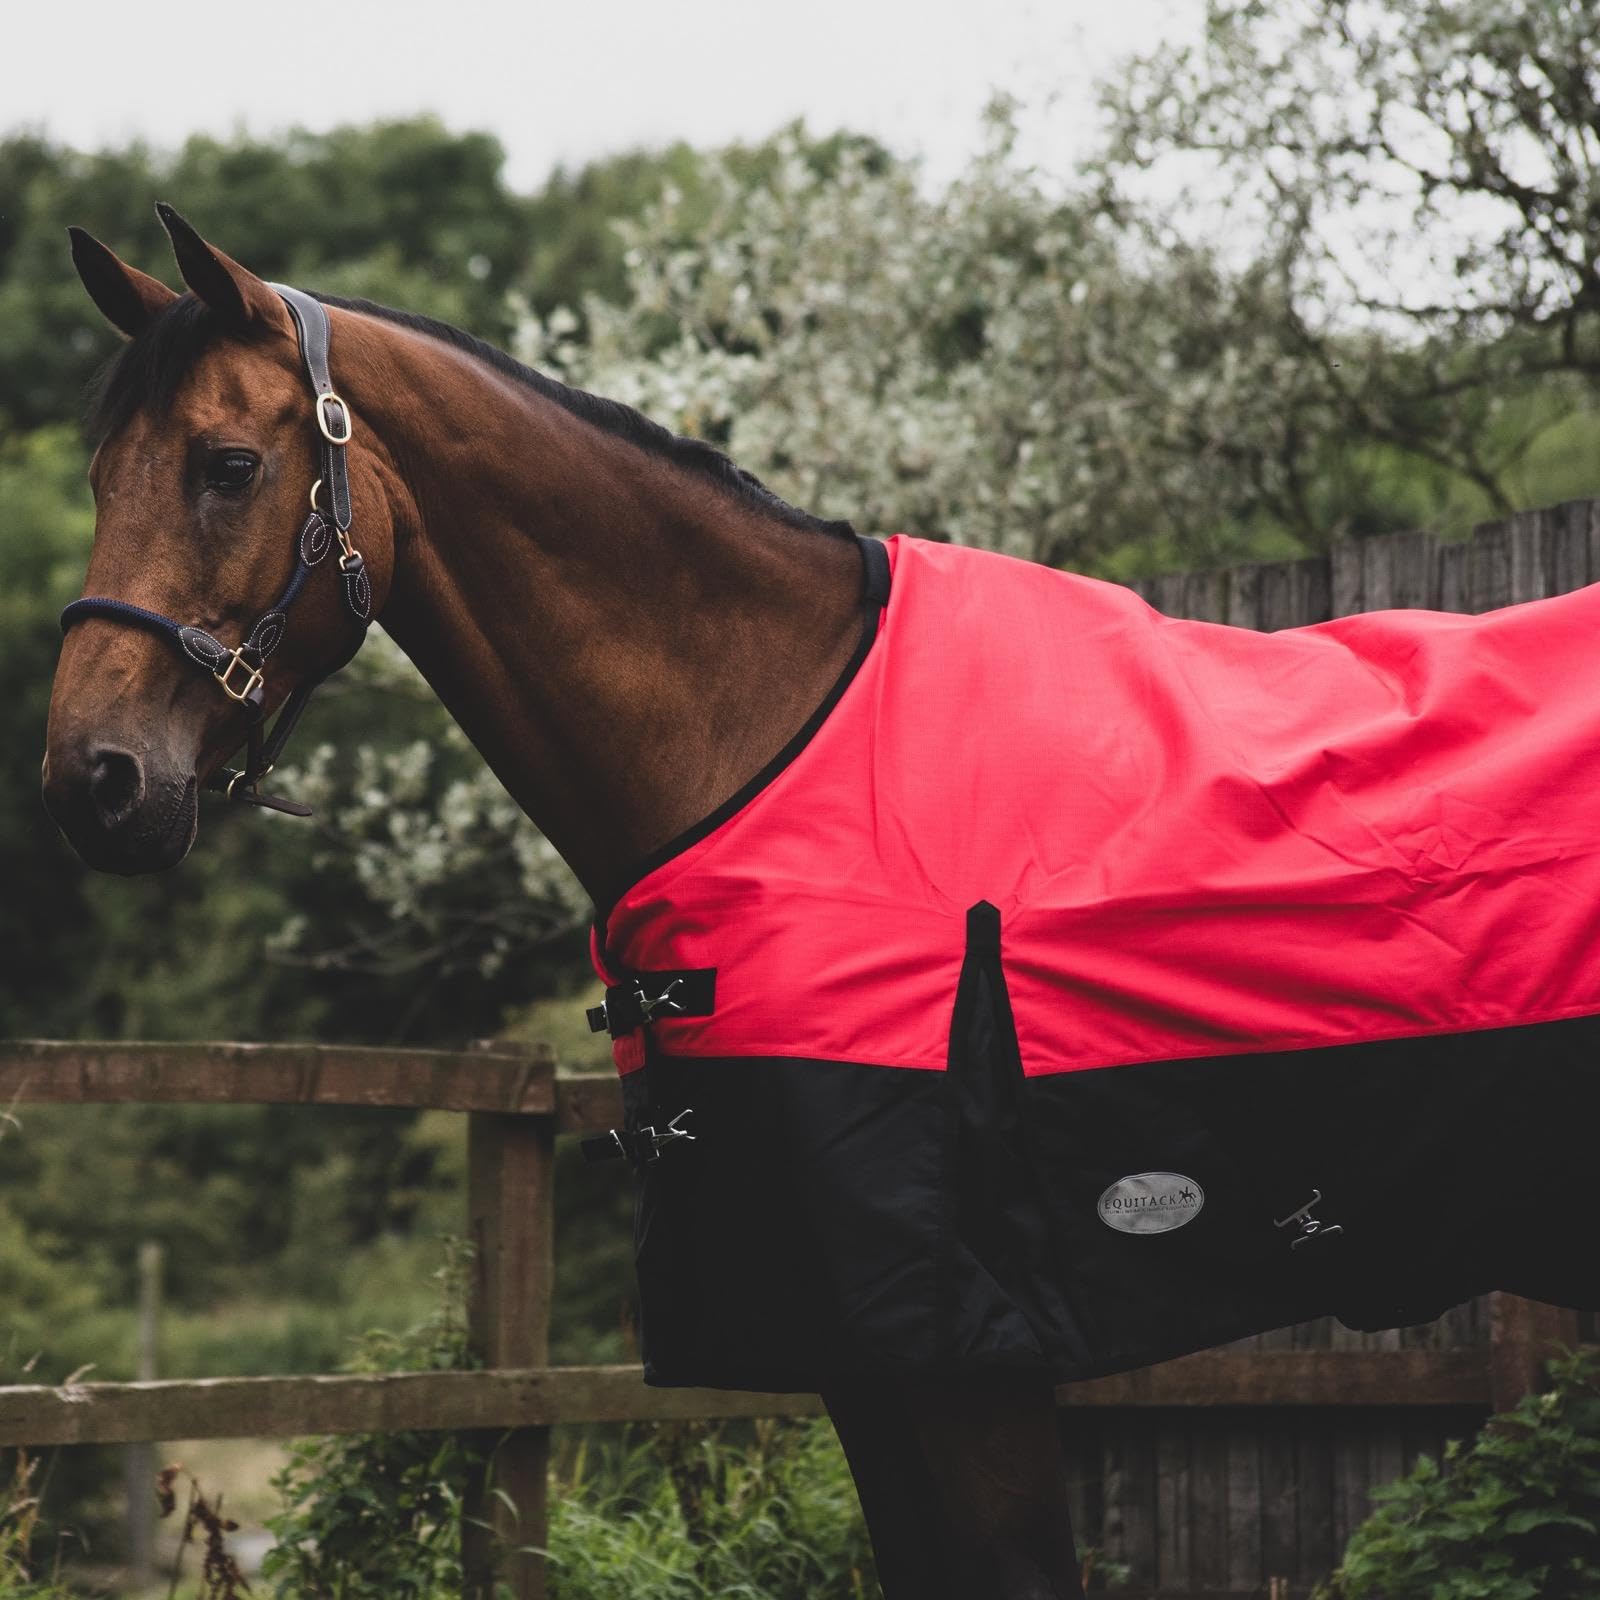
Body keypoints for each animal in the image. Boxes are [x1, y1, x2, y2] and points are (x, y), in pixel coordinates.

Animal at [42, 208, 1600, 1598]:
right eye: (103, 471)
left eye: (229, 466)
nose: (92, 782)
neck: (767, 730)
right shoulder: (860, 1357)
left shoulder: (962, 1355)